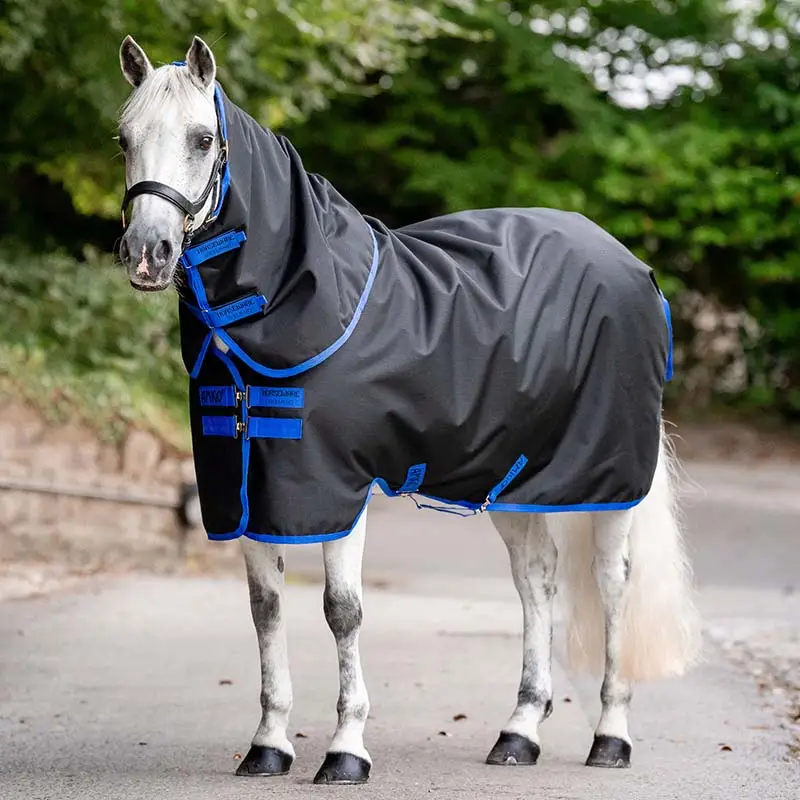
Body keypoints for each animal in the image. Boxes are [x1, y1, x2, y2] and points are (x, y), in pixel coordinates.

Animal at [115, 35, 701, 785]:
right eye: (123, 138)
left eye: (201, 138)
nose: (147, 253)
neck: (295, 302)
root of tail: (634, 268)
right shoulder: (247, 488)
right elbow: (265, 610)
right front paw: (269, 744)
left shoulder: (336, 488)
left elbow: (342, 611)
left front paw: (346, 750)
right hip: (512, 477)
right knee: (536, 580)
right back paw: (519, 732)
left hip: (611, 479)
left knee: (614, 584)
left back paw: (611, 736)